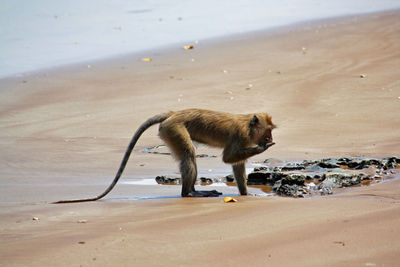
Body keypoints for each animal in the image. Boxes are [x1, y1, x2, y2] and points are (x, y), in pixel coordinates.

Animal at [53, 108, 276, 203]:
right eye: (268, 131)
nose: (270, 138)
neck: (247, 124)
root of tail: (174, 113)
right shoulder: (240, 135)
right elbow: (228, 158)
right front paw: (263, 148)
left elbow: (236, 164)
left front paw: (245, 193)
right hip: (173, 129)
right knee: (188, 155)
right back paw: (189, 193)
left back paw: (192, 190)